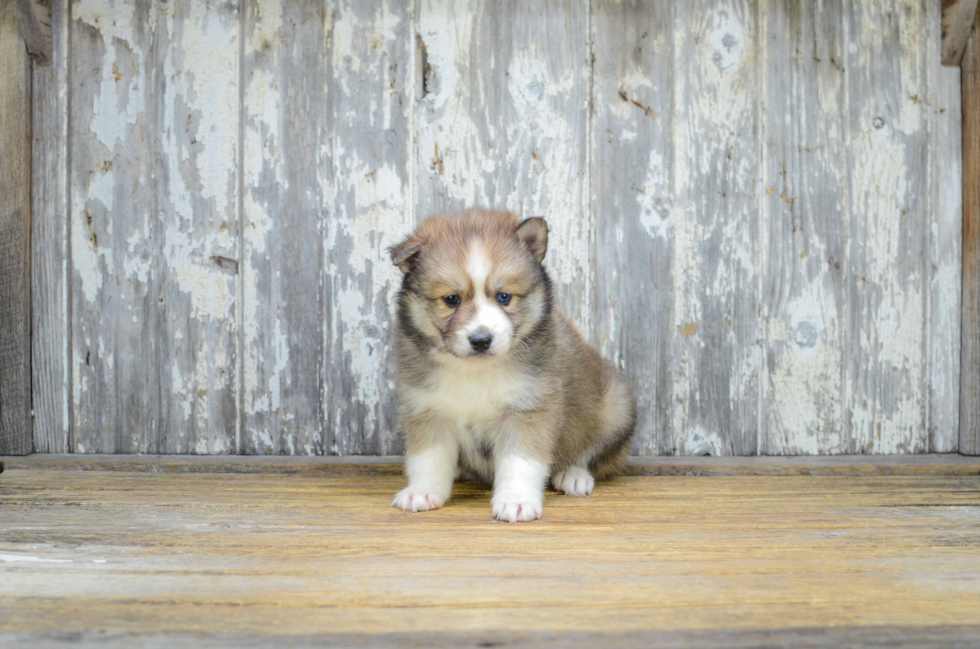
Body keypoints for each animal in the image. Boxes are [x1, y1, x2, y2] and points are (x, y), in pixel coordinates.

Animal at [388, 210, 636, 524]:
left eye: (504, 296)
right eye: (451, 299)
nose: (481, 340)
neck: (475, 371)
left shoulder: (529, 409)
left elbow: (521, 462)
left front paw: (516, 501)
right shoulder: (428, 409)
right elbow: (427, 458)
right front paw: (422, 491)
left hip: (616, 408)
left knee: (595, 455)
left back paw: (573, 475)